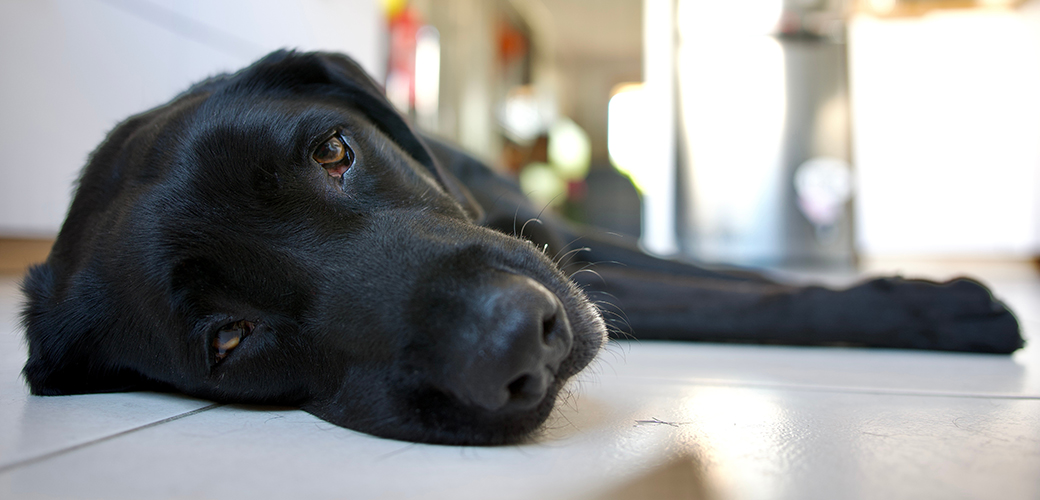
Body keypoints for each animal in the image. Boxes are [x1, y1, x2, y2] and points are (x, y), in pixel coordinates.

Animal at [20, 50, 1019, 444]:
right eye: (229, 338)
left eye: (334, 151)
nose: (513, 343)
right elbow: (727, 301)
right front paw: (938, 308)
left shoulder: (560, 239)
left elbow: (725, 281)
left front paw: (918, 298)